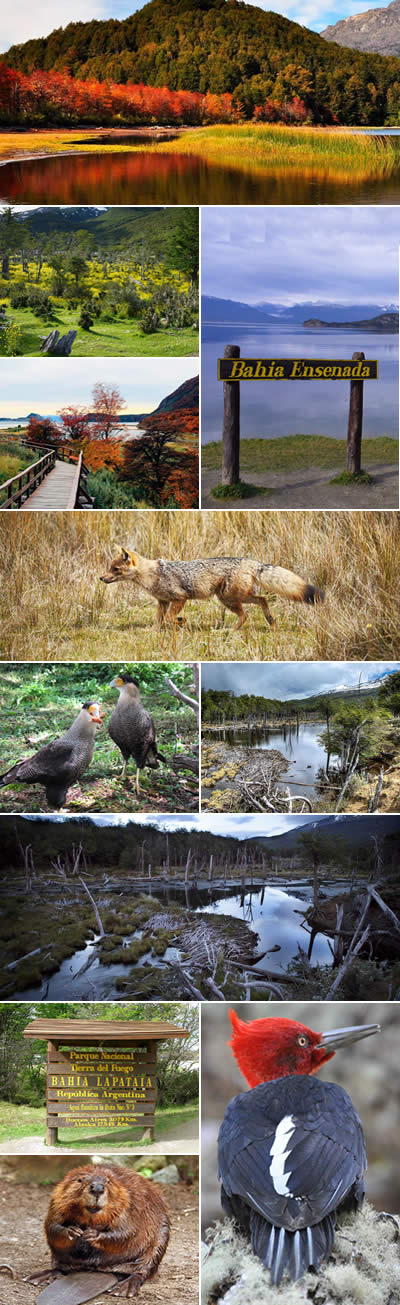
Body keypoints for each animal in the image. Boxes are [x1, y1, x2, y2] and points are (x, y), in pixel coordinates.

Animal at [43, 1164, 170, 1294]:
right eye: (79, 1180)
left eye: (108, 1181)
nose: (97, 1188)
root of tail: (105, 1270)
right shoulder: (57, 1201)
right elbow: (52, 1226)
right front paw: (73, 1231)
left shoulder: (130, 1203)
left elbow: (127, 1232)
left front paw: (91, 1234)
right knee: (61, 1268)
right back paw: (45, 1276)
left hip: (160, 1238)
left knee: (143, 1270)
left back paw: (123, 1288)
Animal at [100, 545, 325, 631]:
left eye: (115, 569)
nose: (101, 578)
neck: (152, 574)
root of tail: (248, 560)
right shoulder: (162, 602)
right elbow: (159, 620)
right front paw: (154, 632)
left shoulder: (179, 598)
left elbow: (171, 618)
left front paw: (181, 622)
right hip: (237, 597)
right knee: (263, 600)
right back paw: (270, 621)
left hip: (228, 599)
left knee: (245, 615)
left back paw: (229, 632)